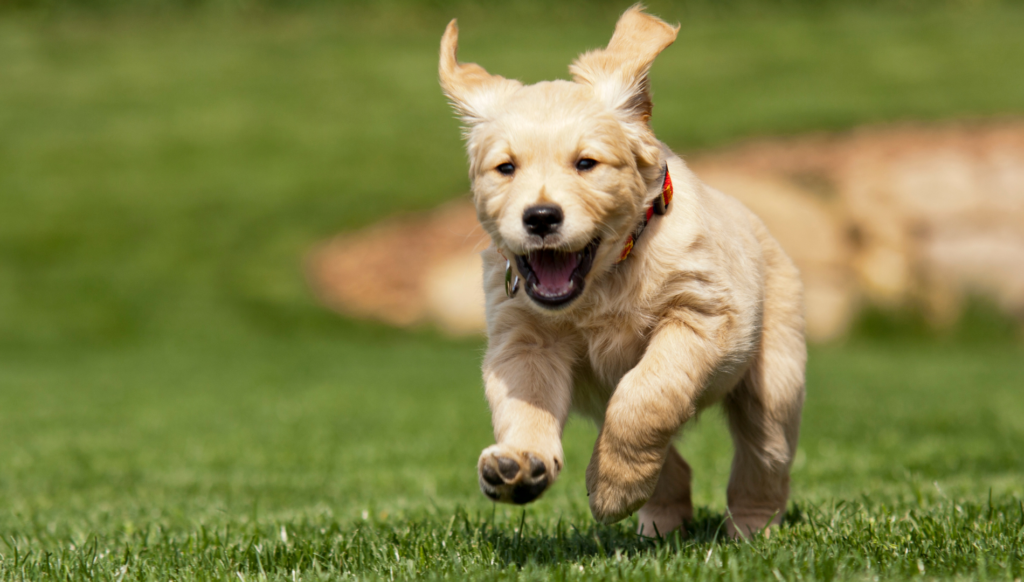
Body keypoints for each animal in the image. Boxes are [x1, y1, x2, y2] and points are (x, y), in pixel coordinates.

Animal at [436, 5, 802, 541]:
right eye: (506, 168)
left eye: (586, 163)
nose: (540, 217)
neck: (606, 280)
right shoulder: (524, 341)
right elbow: (527, 404)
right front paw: (520, 463)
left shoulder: (702, 316)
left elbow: (646, 395)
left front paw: (612, 488)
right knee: (673, 464)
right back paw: (659, 521)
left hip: (774, 378)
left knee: (763, 456)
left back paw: (751, 530)